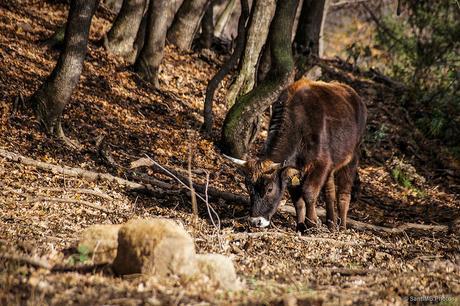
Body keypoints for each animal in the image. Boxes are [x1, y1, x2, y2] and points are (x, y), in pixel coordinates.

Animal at [226, 79, 366, 232]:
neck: (298, 126)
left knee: (343, 194)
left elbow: (308, 192)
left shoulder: (321, 164)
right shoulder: (291, 170)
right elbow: (297, 200)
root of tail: (354, 95)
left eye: (269, 189)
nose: (256, 221)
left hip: (352, 157)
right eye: (248, 187)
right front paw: (301, 226)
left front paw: (312, 223)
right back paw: (331, 224)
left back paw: (342, 226)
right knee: (330, 192)